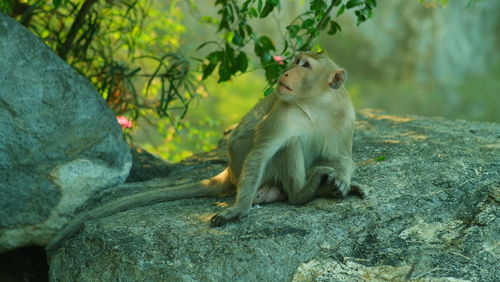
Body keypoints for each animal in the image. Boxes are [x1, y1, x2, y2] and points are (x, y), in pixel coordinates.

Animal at [47, 51, 364, 252]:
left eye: (305, 65)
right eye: (296, 61)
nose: (286, 71)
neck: (316, 104)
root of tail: (228, 172)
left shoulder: (346, 114)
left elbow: (342, 157)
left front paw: (342, 181)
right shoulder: (284, 113)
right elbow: (261, 153)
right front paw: (237, 211)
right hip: (243, 163)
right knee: (289, 144)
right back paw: (302, 193)